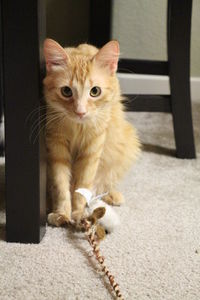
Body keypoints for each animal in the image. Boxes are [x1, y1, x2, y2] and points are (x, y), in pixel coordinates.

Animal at [43, 38, 141, 225]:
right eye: (66, 91)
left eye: (95, 91)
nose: (80, 112)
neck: (77, 127)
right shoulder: (56, 146)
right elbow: (60, 186)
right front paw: (62, 213)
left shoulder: (92, 149)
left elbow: (82, 186)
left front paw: (79, 213)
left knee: (103, 183)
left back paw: (111, 195)